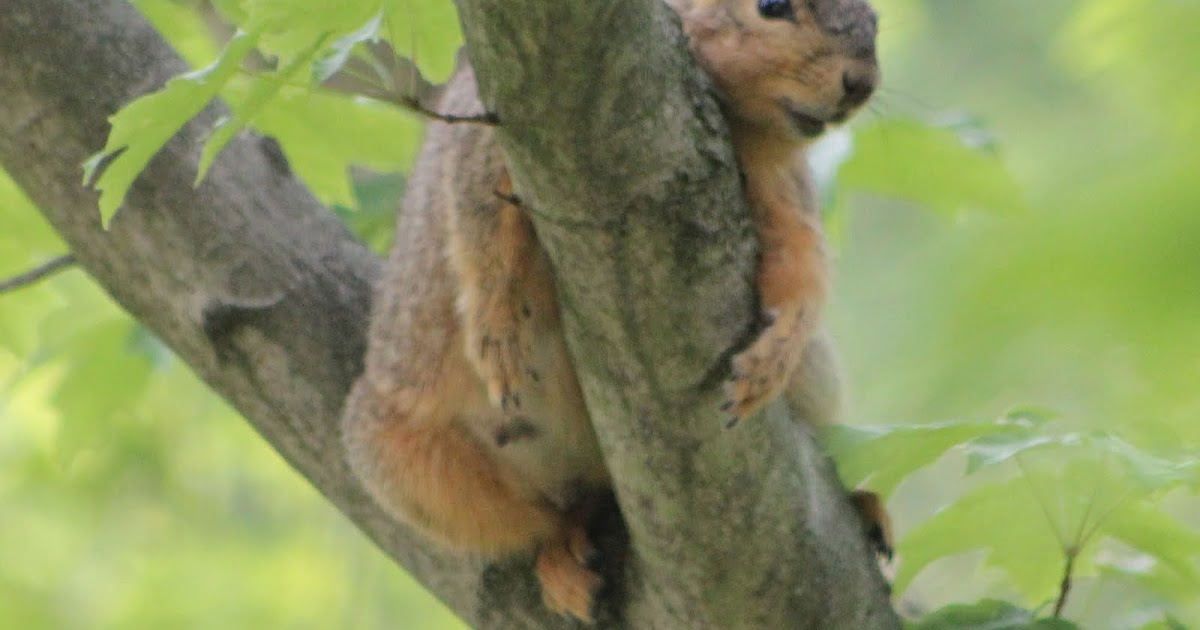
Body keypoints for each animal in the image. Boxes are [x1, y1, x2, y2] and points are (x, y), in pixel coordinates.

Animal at [341, 0, 888, 622]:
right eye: (771, 7)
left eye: (876, 20)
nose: (861, 84)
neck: (742, 129)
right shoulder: (487, 137)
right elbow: (483, 231)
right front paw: (498, 334)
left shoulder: (782, 188)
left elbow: (801, 263)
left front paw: (774, 355)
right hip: (401, 460)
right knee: (534, 520)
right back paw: (562, 549)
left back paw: (863, 504)